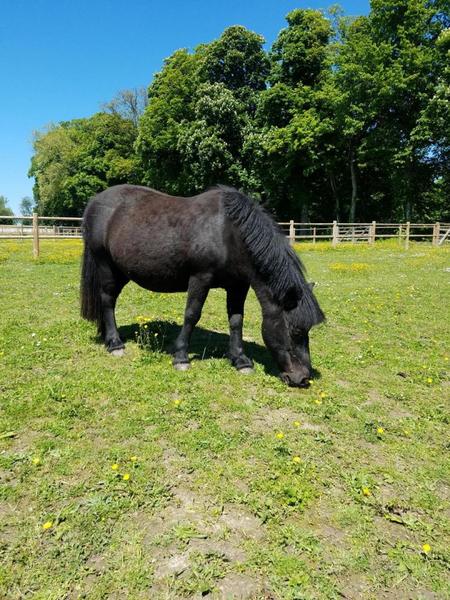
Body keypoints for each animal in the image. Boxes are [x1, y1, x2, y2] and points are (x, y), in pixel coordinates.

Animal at [78, 185, 324, 386]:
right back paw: (115, 344)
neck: (229, 233)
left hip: (122, 272)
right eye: (295, 331)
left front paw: (241, 360)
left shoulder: (238, 286)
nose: (302, 378)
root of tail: (94, 202)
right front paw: (181, 358)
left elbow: (236, 320)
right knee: (107, 300)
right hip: (105, 265)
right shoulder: (200, 278)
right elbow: (192, 315)